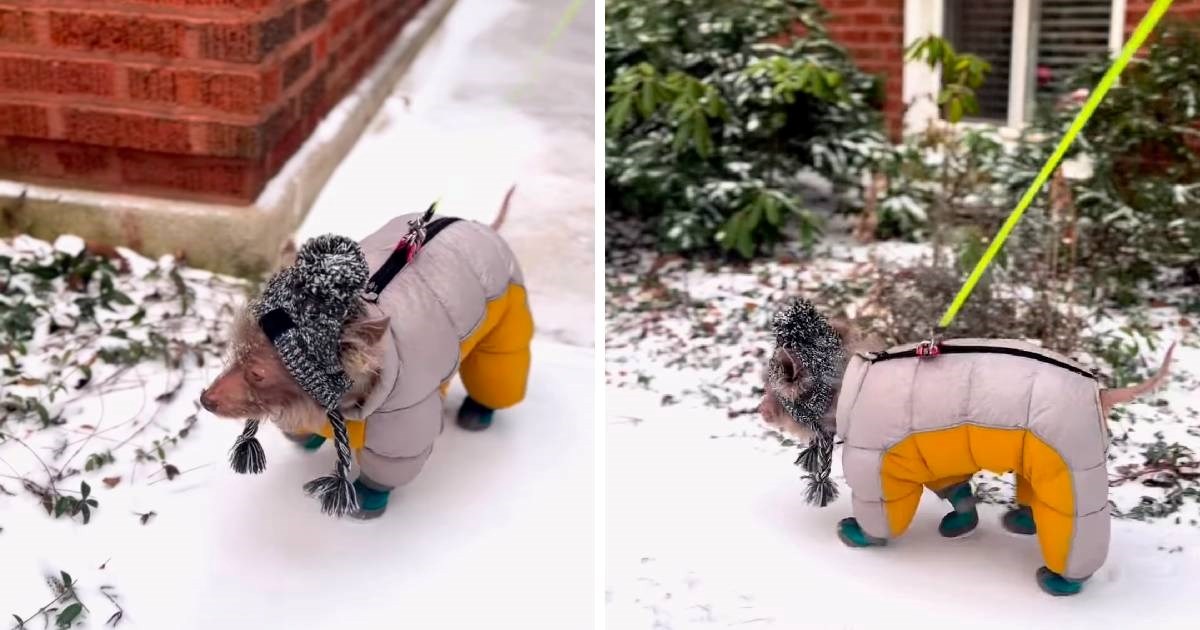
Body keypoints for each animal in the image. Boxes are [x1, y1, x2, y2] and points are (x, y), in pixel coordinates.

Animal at [758, 298, 1171, 595]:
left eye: (774, 387)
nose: (760, 410)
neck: (850, 382)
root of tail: (1099, 392)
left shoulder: (877, 464)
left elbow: (882, 513)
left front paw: (860, 535)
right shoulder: (929, 457)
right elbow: (959, 495)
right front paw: (961, 523)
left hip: (1068, 465)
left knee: (1076, 530)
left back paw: (1063, 580)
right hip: (1041, 459)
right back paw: (1023, 520)